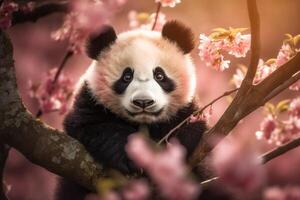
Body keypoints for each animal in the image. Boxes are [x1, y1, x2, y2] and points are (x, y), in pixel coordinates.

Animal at [55, 20, 206, 200]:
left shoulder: (186, 111)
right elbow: (93, 125)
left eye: (159, 75)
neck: (143, 123)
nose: (143, 102)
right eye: (126, 77)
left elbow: (187, 132)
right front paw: (130, 154)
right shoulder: (90, 102)